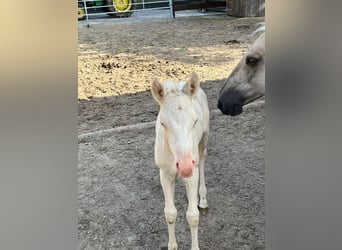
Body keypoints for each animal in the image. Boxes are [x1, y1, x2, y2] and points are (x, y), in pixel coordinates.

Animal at [152, 71, 210, 249]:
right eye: (163, 123)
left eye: (195, 121)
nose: (185, 167)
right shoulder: (164, 174)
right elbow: (170, 213)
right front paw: (172, 246)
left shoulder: (192, 171)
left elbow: (193, 216)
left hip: (203, 141)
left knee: (202, 159)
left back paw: (202, 199)